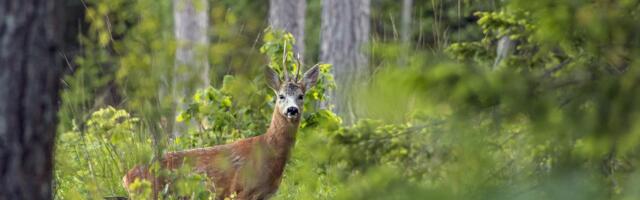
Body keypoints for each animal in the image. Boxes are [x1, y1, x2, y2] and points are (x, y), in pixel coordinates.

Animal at [122, 63, 320, 200]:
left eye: (301, 96)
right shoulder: (240, 190)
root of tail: (126, 177)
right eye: (281, 96)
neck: (269, 153)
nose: (292, 110)